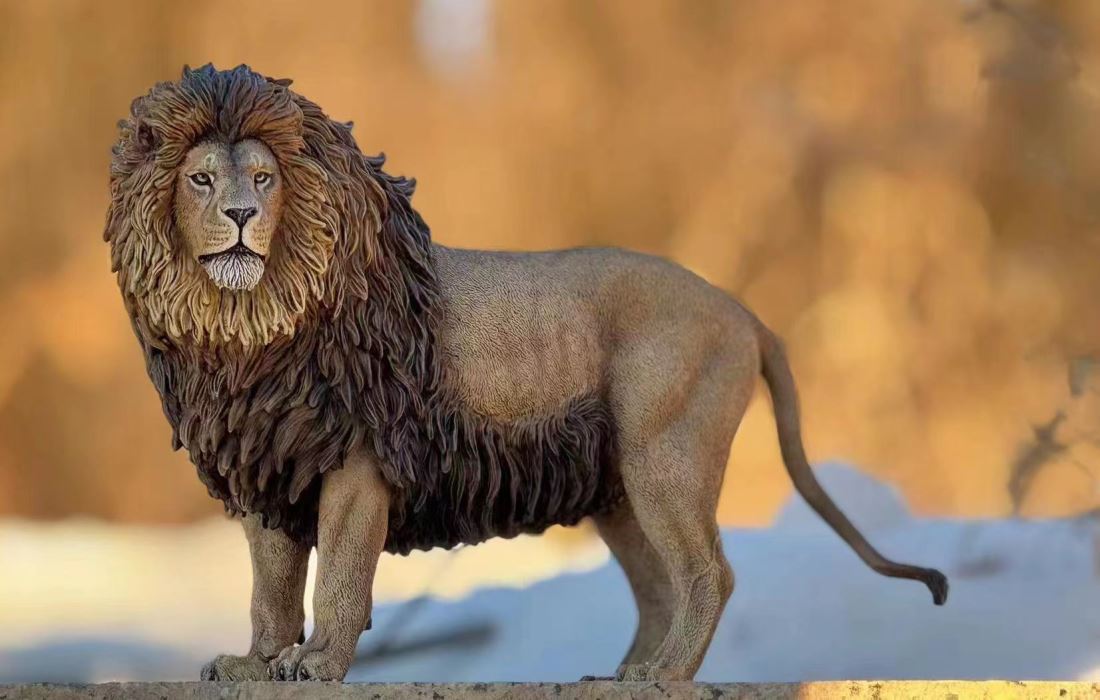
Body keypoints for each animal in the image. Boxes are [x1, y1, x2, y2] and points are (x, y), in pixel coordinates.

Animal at [105, 64, 947, 683]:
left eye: (265, 180)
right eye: (202, 180)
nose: (242, 216)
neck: (246, 331)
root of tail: (744, 312)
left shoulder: (358, 464)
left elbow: (339, 577)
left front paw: (315, 666)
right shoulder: (266, 467)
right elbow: (269, 589)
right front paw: (252, 662)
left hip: (665, 456)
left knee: (709, 572)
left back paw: (666, 675)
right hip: (619, 490)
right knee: (657, 588)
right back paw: (619, 675)